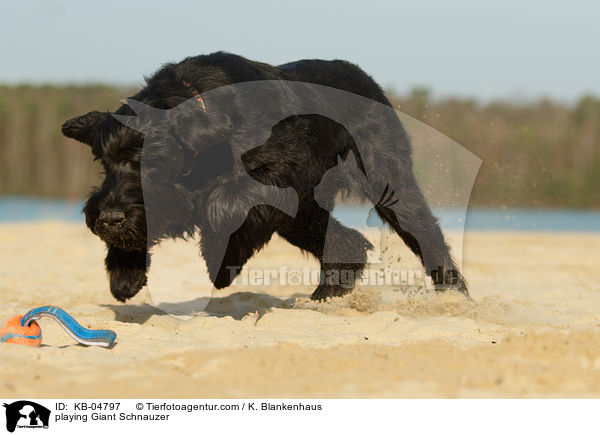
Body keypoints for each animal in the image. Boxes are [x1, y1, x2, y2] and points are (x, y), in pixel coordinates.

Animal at [61, 52, 466, 304]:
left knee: (425, 232)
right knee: (347, 244)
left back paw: (455, 295)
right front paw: (124, 273)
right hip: (304, 214)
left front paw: (220, 259)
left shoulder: (279, 176)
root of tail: (367, 82)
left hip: (388, 183)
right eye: (104, 163)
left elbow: (222, 204)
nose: (108, 219)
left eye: (150, 161)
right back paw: (325, 296)